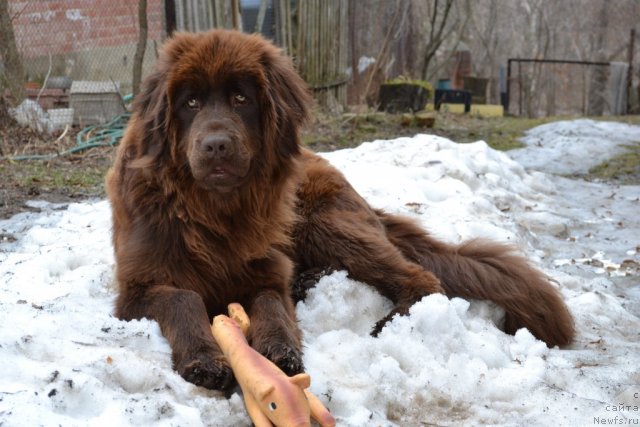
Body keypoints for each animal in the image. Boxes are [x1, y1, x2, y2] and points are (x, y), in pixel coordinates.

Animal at [106, 29, 576, 392]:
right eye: (190, 103)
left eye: (241, 98)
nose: (217, 145)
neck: (213, 211)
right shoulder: (139, 286)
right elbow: (183, 297)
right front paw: (205, 359)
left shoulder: (265, 272)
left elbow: (272, 305)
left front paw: (279, 352)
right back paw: (311, 280)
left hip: (321, 222)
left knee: (423, 278)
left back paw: (388, 322)